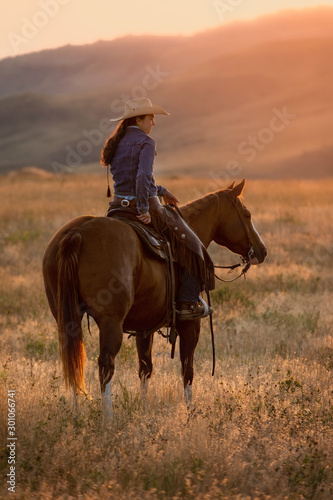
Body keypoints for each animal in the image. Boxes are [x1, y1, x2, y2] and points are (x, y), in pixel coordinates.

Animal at [42, 178, 268, 416]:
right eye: (247, 214)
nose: (262, 251)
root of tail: (78, 232)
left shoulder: (144, 326)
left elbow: (145, 368)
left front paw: (143, 407)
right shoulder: (191, 324)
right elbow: (187, 369)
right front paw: (190, 410)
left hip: (68, 318)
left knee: (75, 360)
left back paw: (77, 414)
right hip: (110, 322)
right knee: (105, 365)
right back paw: (108, 418)